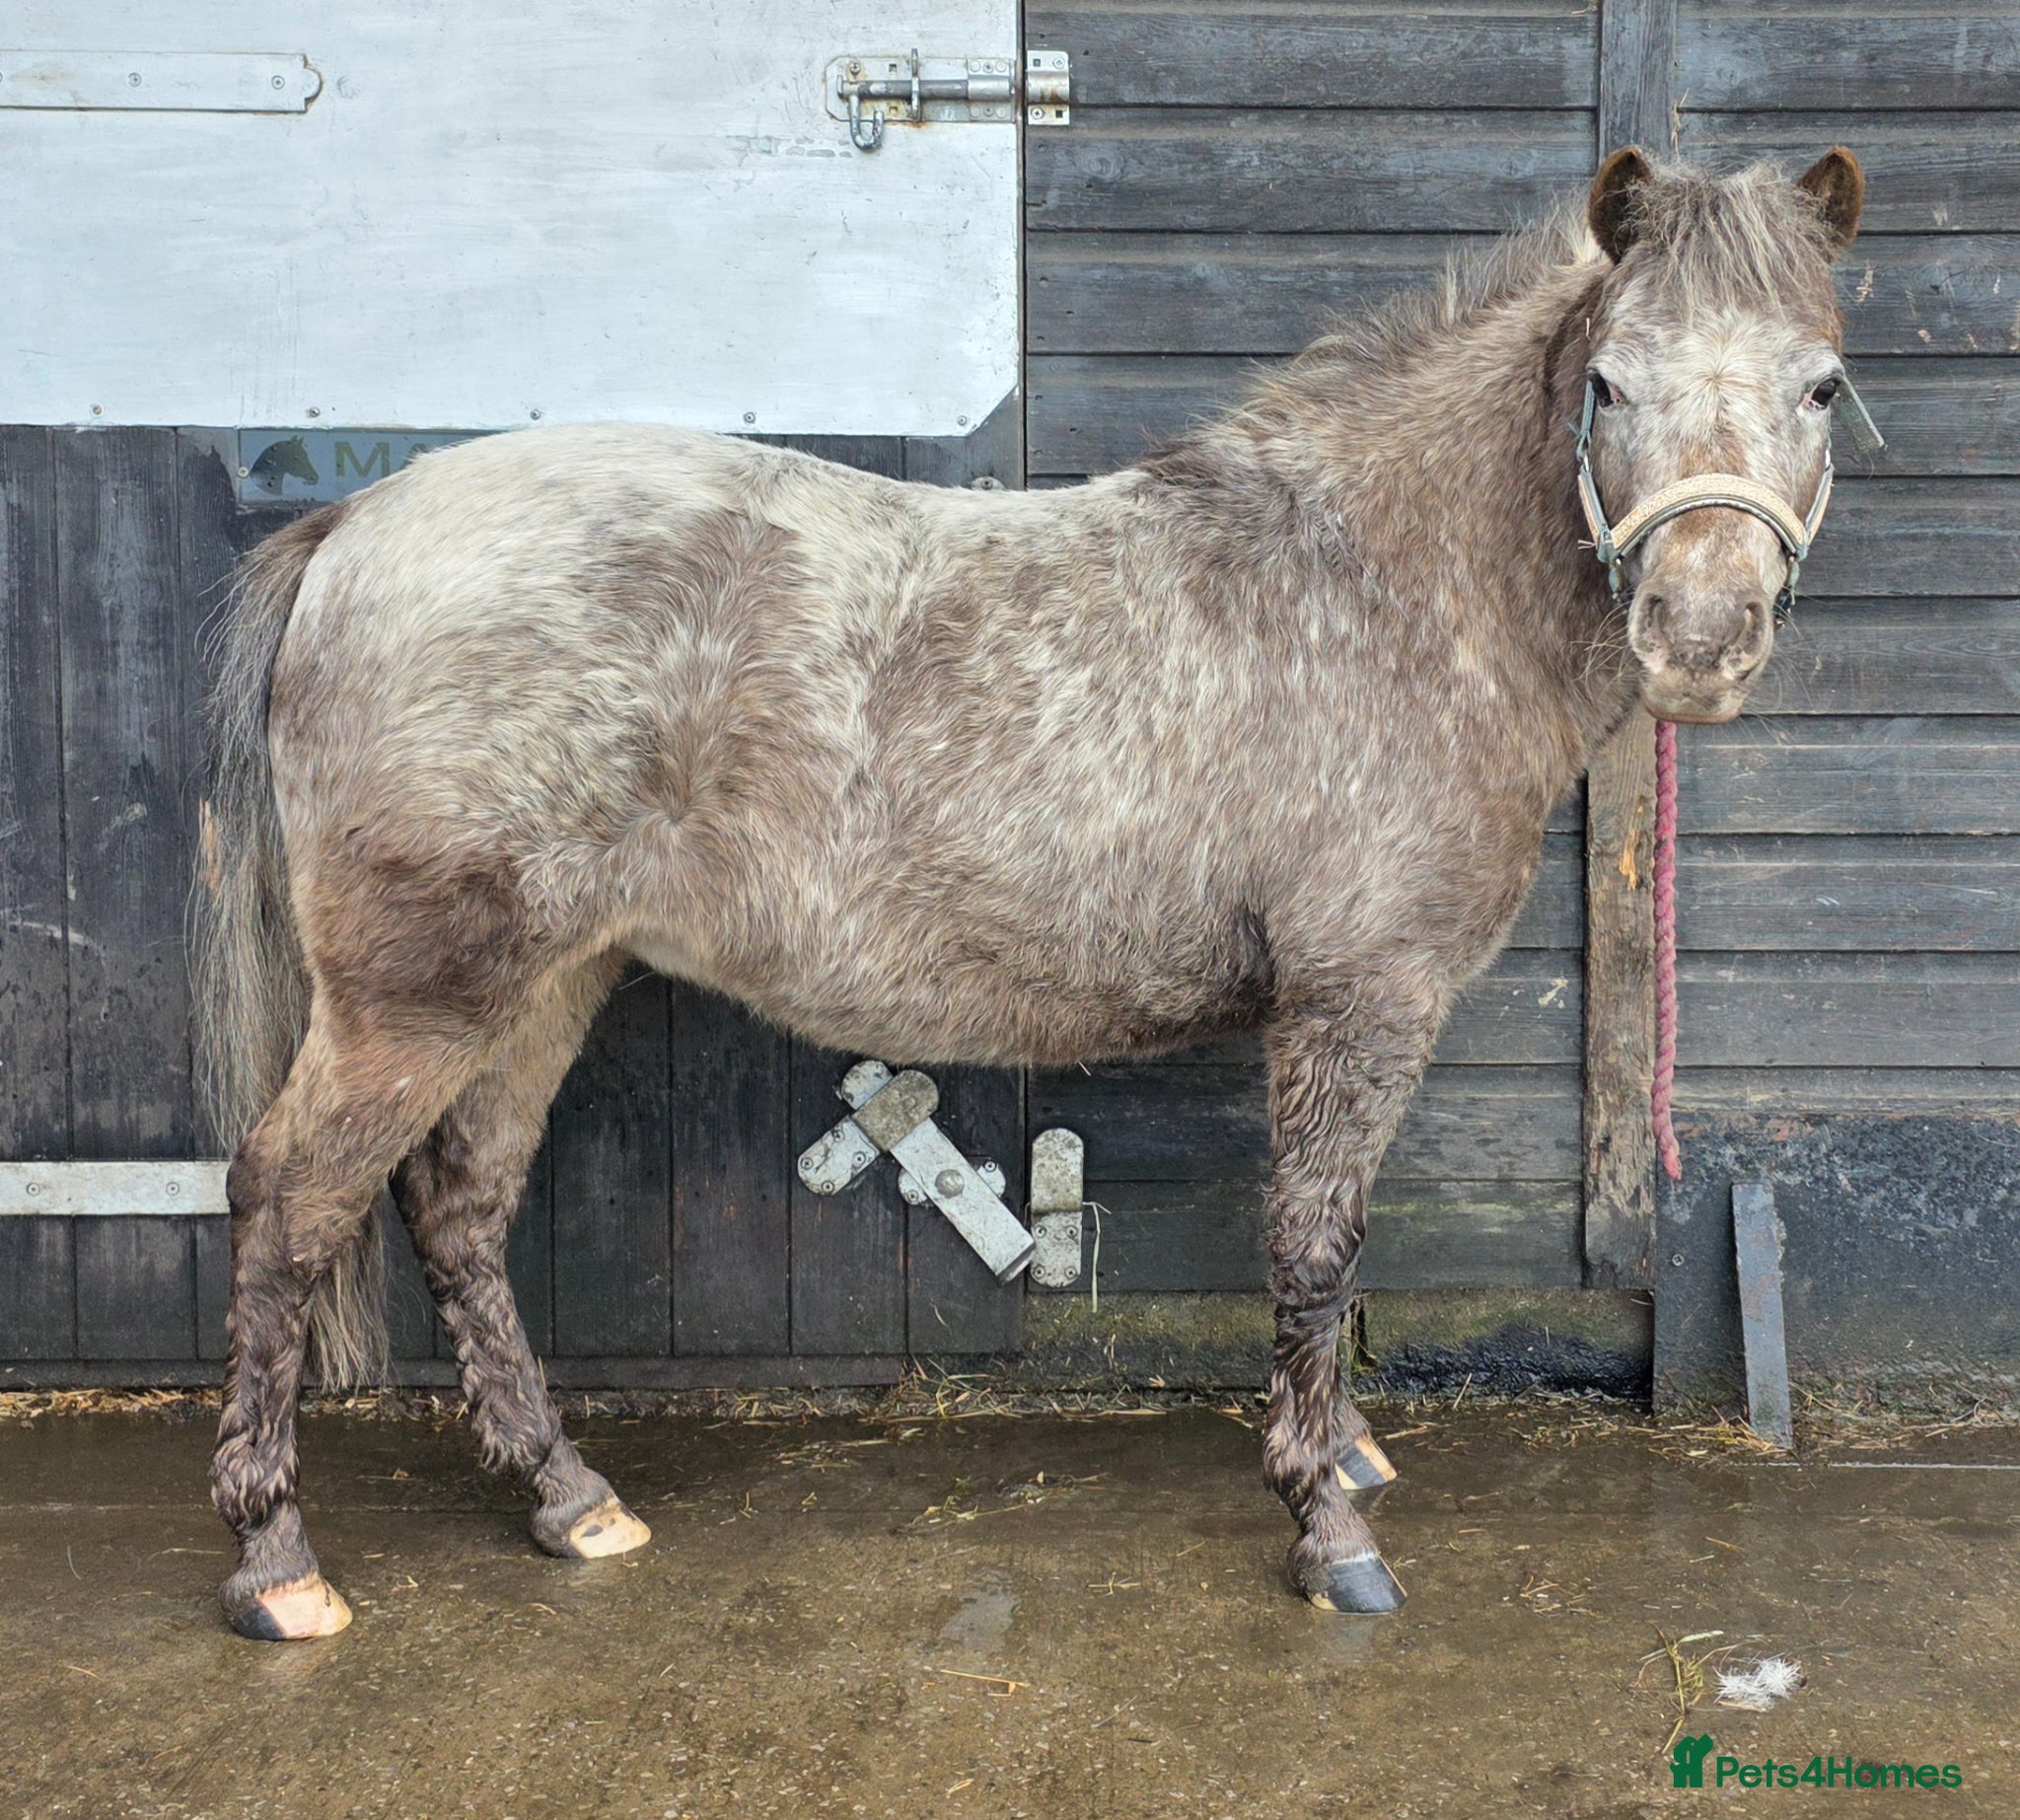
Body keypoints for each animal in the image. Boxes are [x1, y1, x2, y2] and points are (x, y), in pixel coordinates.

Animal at [194, 147, 1864, 1639]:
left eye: (1821, 386)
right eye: (1610, 385)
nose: (1700, 635)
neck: (1376, 591)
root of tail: (357, 528)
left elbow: (1337, 1243)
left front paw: (1347, 1456)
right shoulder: (1357, 997)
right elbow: (1318, 1239)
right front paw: (1325, 1520)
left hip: (548, 980)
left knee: (458, 1209)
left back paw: (565, 1493)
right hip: (417, 997)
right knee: (288, 1199)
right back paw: (279, 1562)